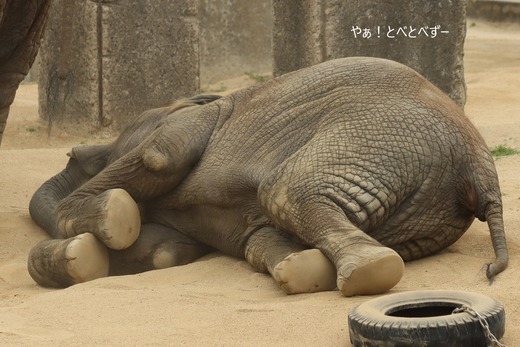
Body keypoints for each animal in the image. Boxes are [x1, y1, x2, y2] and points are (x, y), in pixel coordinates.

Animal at [27, 57, 508, 296]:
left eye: (115, 142)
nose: (75, 152)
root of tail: (479, 168)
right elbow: (174, 248)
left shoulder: (194, 123)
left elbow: (161, 156)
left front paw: (110, 213)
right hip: (426, 214)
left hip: (376, 133)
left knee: (285, 191)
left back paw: (369, 272)